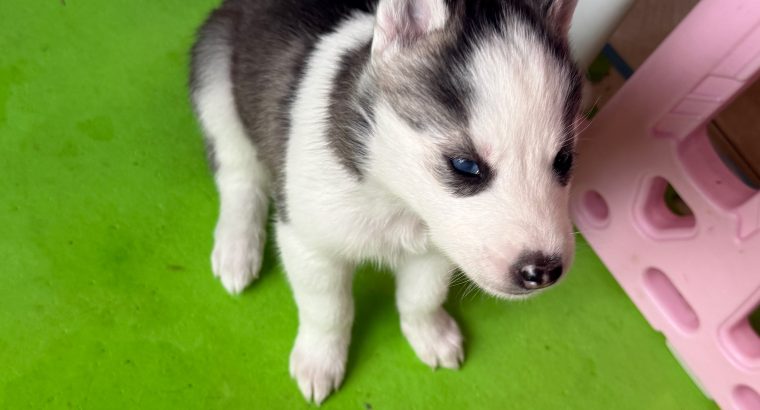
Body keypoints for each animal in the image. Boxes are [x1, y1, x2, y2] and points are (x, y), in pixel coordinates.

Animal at [190, 0, 580, 404]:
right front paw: (319, 359)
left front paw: (430, 334)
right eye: (465, 165)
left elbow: (422, 298)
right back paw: (237, 250)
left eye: (565, 159)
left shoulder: (435, 250)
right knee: (240, 179)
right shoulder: (308, 244)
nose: (544, 271)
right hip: (215, 85)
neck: (396, 199)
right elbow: (328, 310)